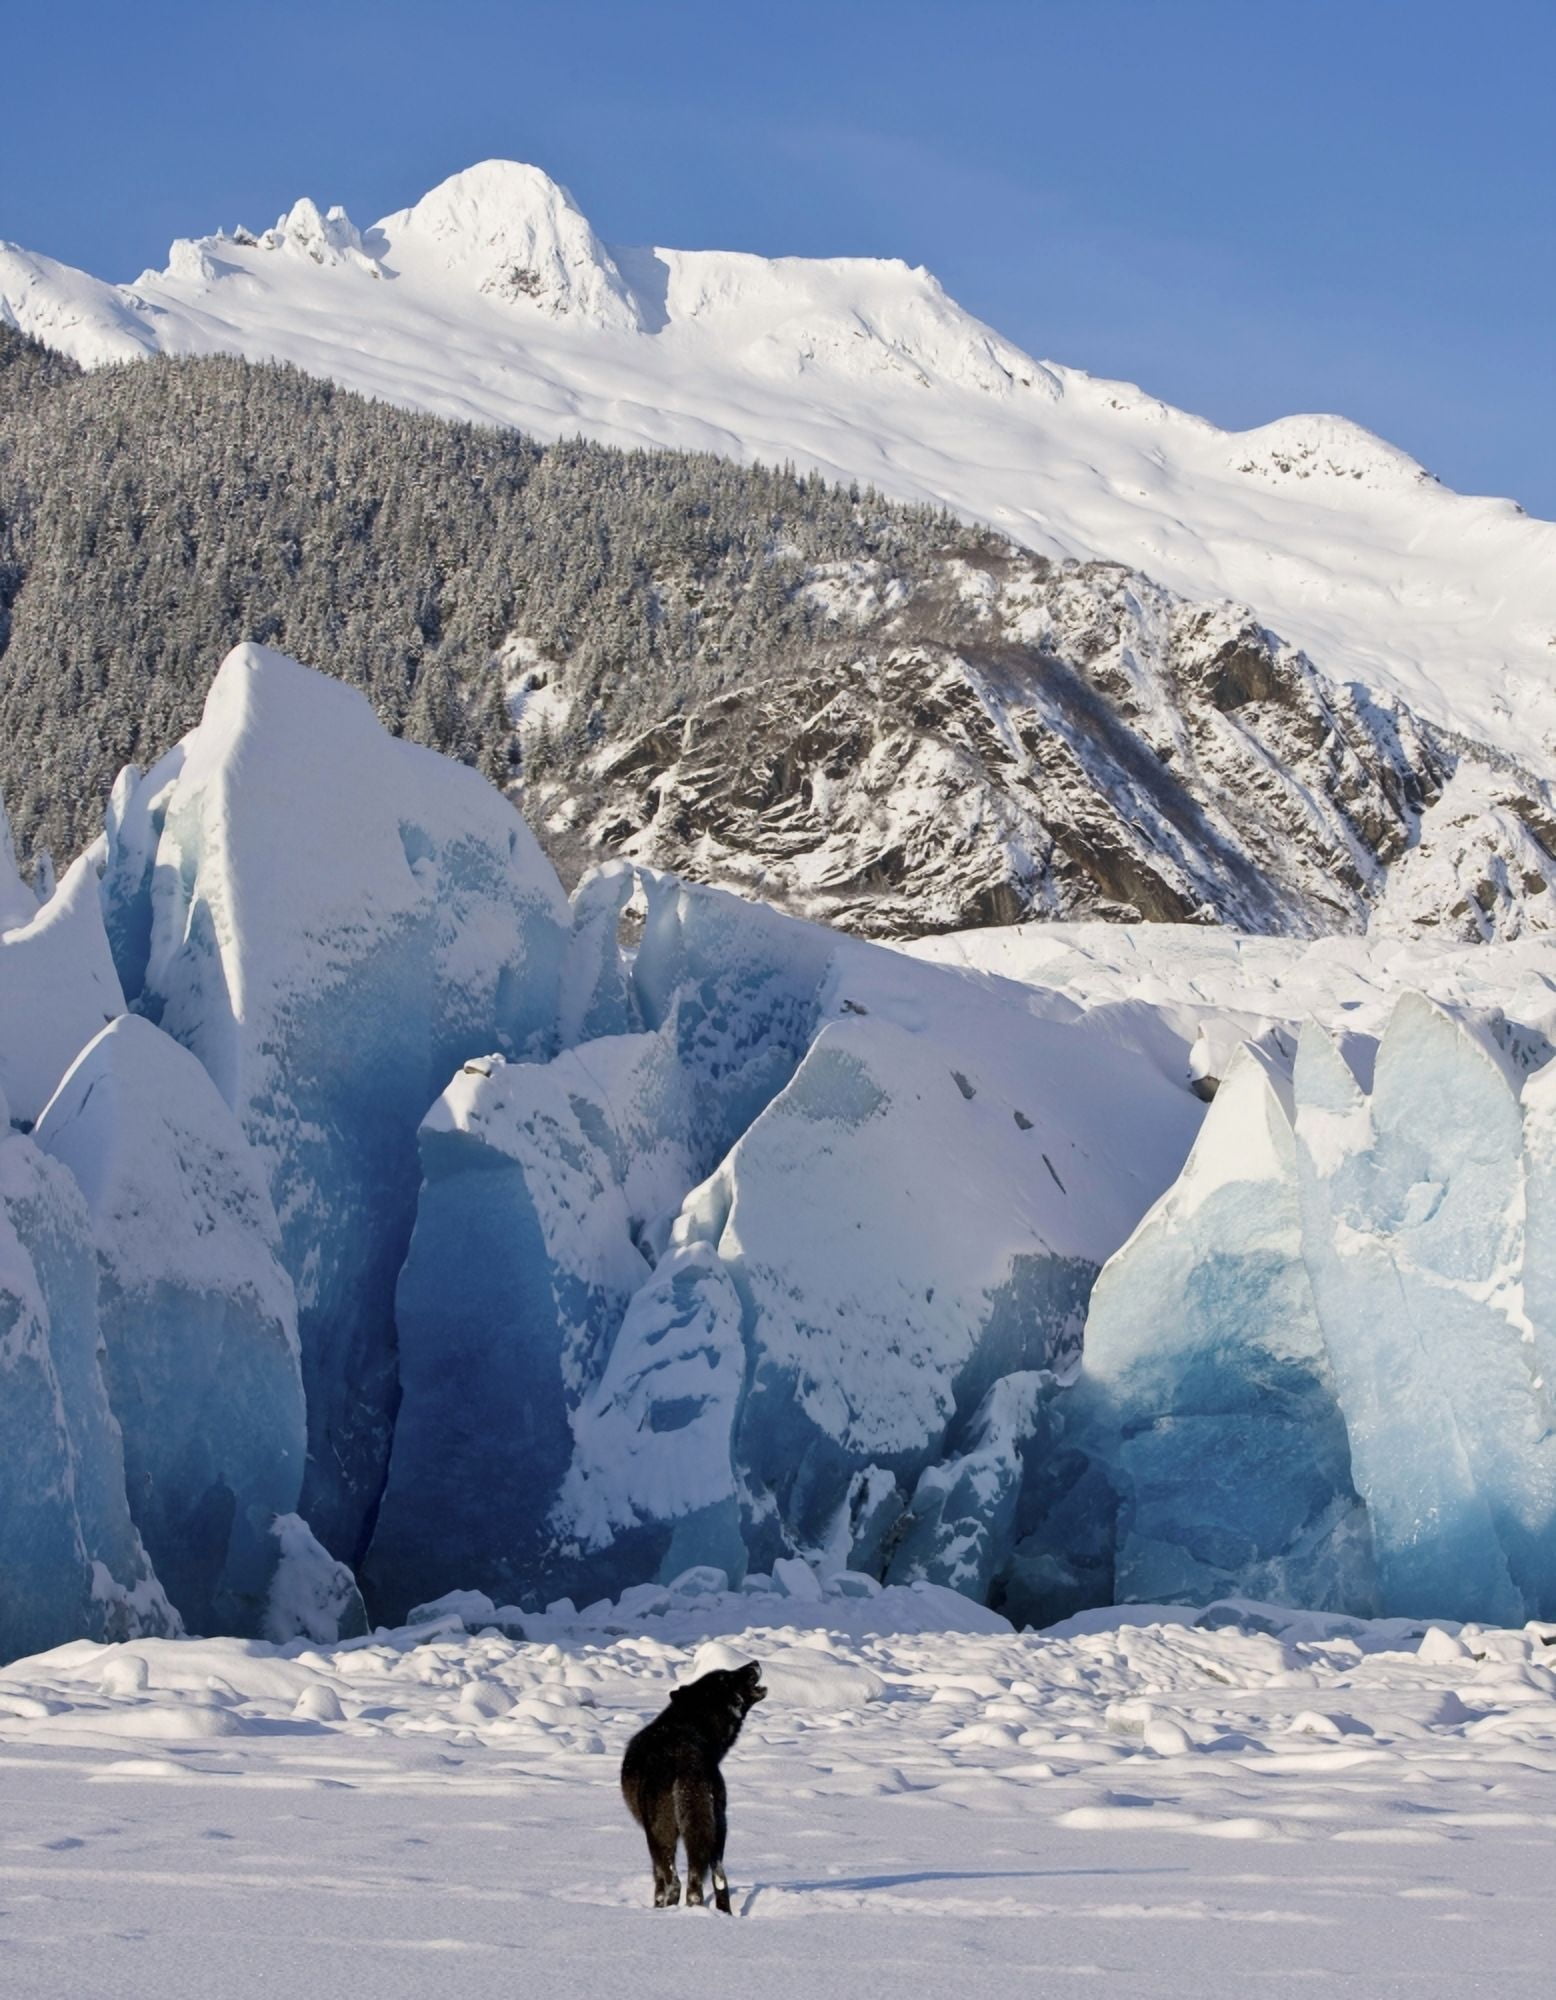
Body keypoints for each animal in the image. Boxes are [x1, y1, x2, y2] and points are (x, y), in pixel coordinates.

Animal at [620, 1660, 767, 1913]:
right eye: (726, 1676)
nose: (755, 1662)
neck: (691, 1724)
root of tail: (687, 1759)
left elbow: (658, 1883)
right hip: (717, 1830)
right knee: (712, 1882)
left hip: (661, 1835)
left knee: (675, 1883)